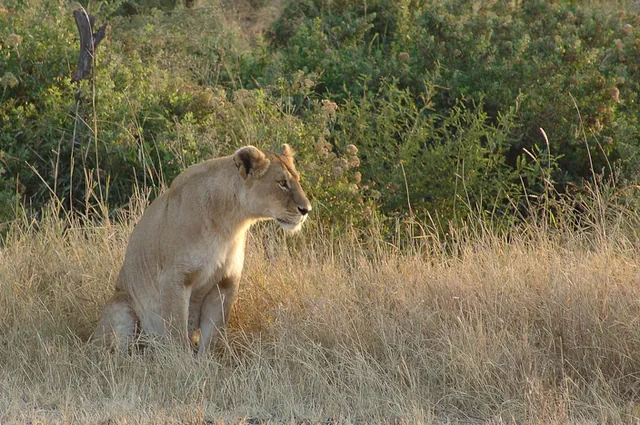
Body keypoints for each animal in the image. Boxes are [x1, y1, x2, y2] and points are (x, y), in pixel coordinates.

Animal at [92, 144, 311, 355]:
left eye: (297, 180)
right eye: (282, 183)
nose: (306, 210)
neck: (229, 224)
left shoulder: (225, 283)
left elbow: (212, 336)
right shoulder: (175, 278)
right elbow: (177, 333)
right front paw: (182, 364)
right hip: (121, 305)